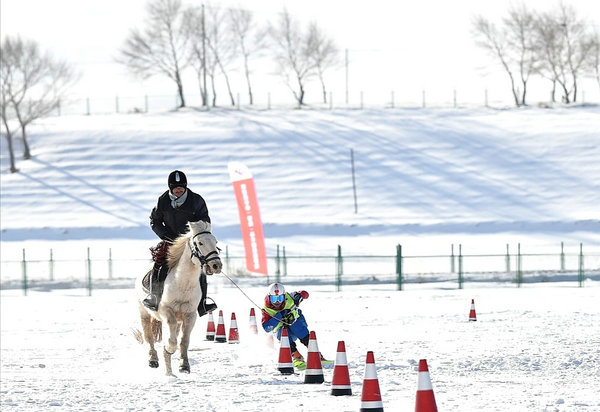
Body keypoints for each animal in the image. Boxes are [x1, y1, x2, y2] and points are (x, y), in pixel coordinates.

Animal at [134, 222, 223, 376]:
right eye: (200, 243)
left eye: (215, 242)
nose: (216, 265)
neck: (183, 282)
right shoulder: (166, 311)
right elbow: (171, 340)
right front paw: (168, 348)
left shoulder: (190, 315)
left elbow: (184, 341)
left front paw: (184, 365)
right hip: (144, 312)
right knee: (148, 335)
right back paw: (153, 359)